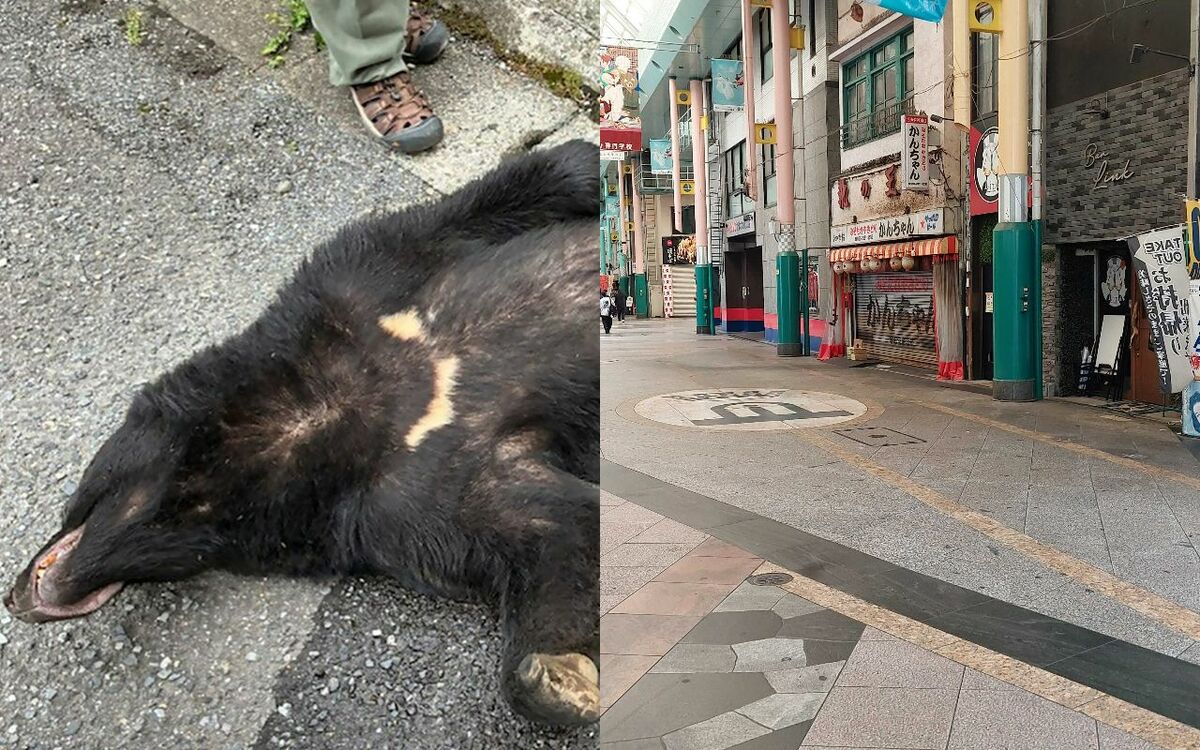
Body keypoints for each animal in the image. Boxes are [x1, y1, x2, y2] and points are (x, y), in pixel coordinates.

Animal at [3, 140, 601, 727]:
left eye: (90, 482)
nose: (18, 600)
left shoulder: (355, 291)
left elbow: (452, 216)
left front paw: (591, 165)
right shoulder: (403, 496)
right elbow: (551, 523)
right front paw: (557, 676)